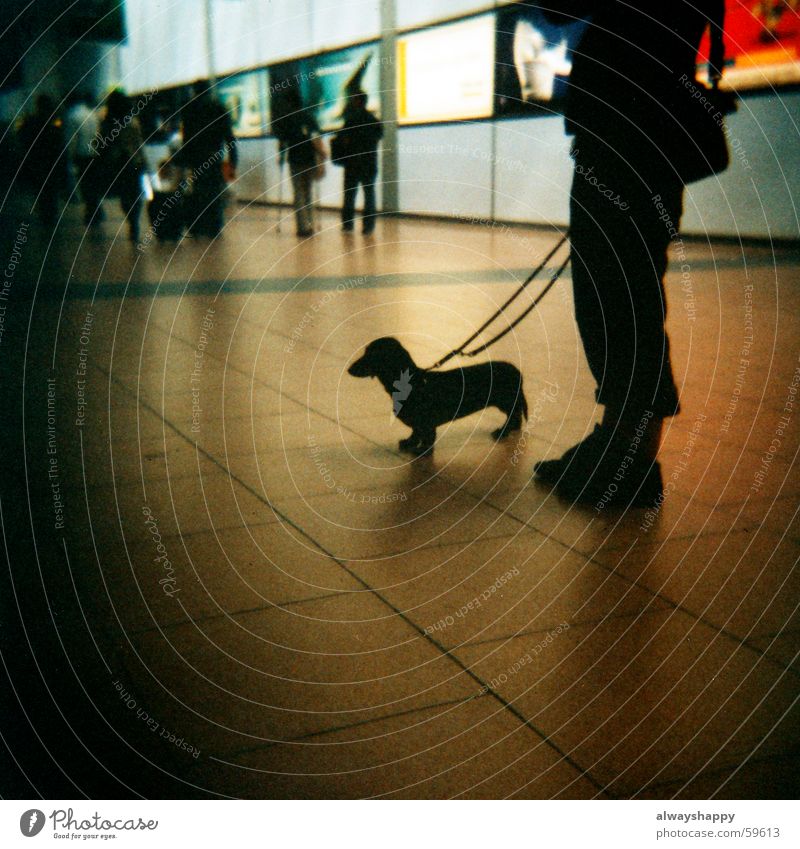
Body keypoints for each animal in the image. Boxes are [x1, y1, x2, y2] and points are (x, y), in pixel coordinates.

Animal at [346, 338, 528, 458]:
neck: (415, 383)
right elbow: (415, 432)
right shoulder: (417, 424)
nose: (349, 369)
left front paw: (422, 451)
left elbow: (427, 436)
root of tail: (518, 371)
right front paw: (409, 442)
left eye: (371, 354)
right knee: (516, 415)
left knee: (514, 414)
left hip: (505, 401)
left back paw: (503, 431)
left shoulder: (427, 422)